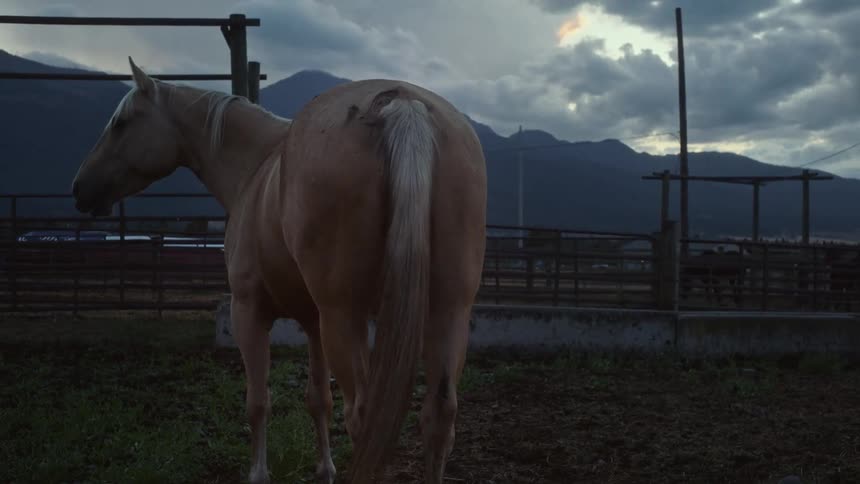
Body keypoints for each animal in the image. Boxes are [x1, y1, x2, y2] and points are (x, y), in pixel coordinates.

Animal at [71, 57, 487, 484]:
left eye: (121, 123)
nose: (80, 188)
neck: (256, 167)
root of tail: (402, 106)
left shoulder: (248, 311)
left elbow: (258, 401)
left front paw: (259, 473)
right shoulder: (312, 322)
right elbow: (318, 399)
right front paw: (325, 469)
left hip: (345, 316)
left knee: (362, 418)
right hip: (447, 312)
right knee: (438, 417)